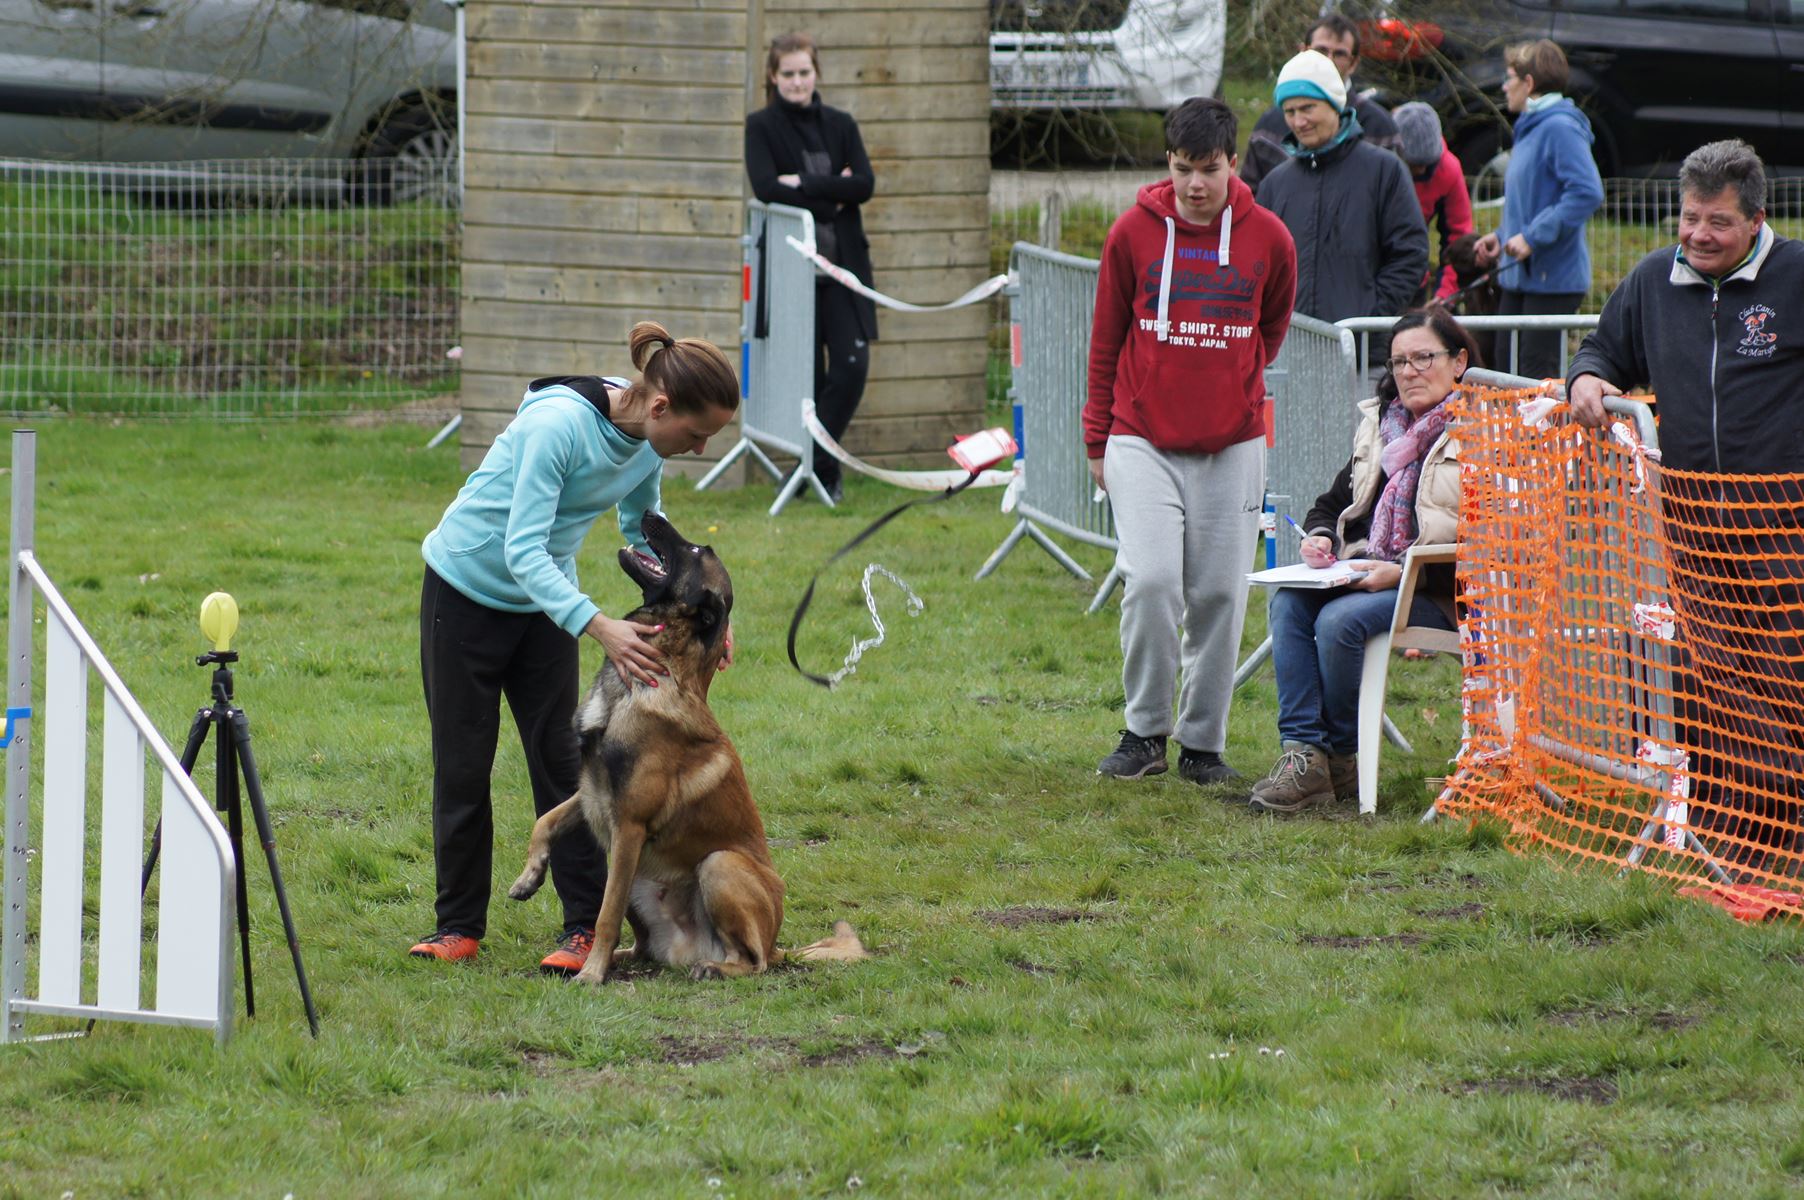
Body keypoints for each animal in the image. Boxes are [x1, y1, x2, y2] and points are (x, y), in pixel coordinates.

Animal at [505, 512, 862, 981]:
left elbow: (605, 915)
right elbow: (545, 820)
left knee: (755, 961)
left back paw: (711, 968)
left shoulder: (629, 824)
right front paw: (528, 877)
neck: (648, 678)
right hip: (638, 879)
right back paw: (625, 958)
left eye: (696, 550)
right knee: (643, 946)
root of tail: (780, 944)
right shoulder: (592, 793)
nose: (651, 515)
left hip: (715, 864)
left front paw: (592, 975)